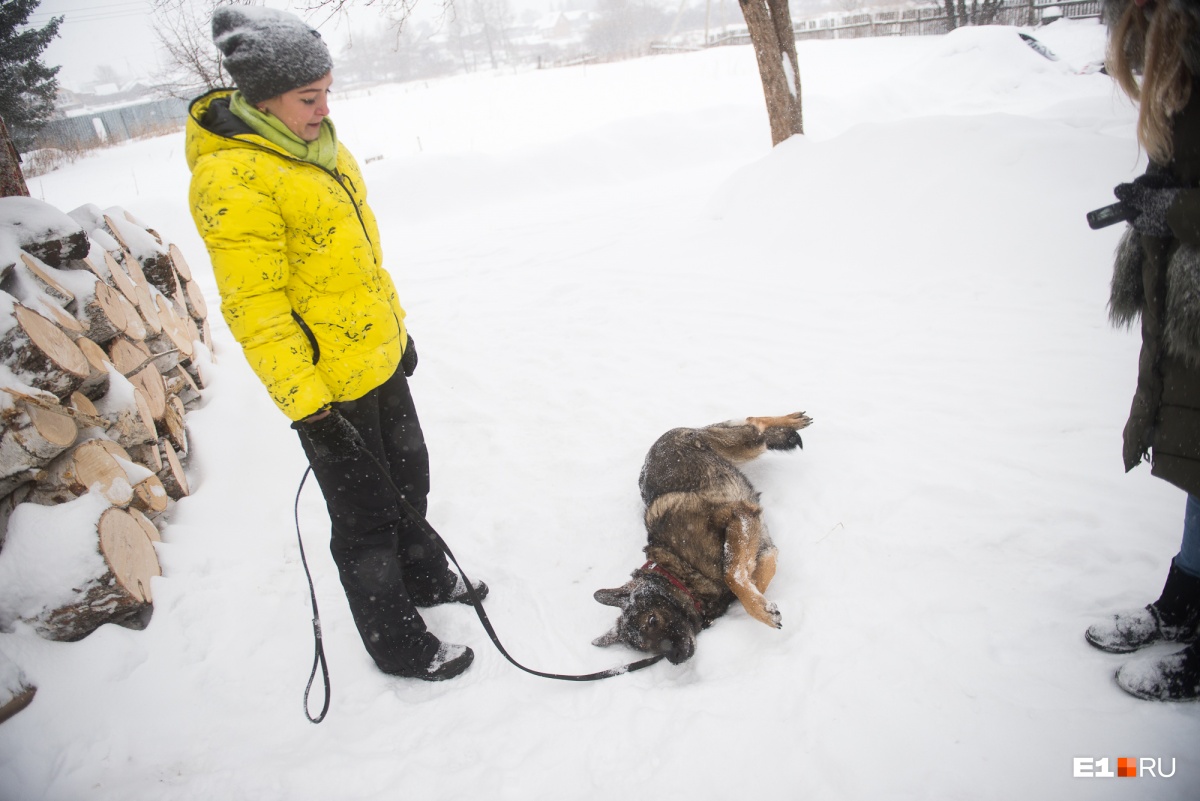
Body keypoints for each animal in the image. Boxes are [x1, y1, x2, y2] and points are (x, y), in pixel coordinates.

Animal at [592, 412, 811, 661]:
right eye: (644, 647)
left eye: (652, 620)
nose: (676, 660)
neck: (681, 572)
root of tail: (662, 439)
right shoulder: (756, 538)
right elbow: (755, 572)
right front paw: (758, 596)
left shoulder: (736, 515)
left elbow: (732, 575)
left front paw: (759, 608)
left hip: (746, 444)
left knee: (755, 422)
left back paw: (792, 420)